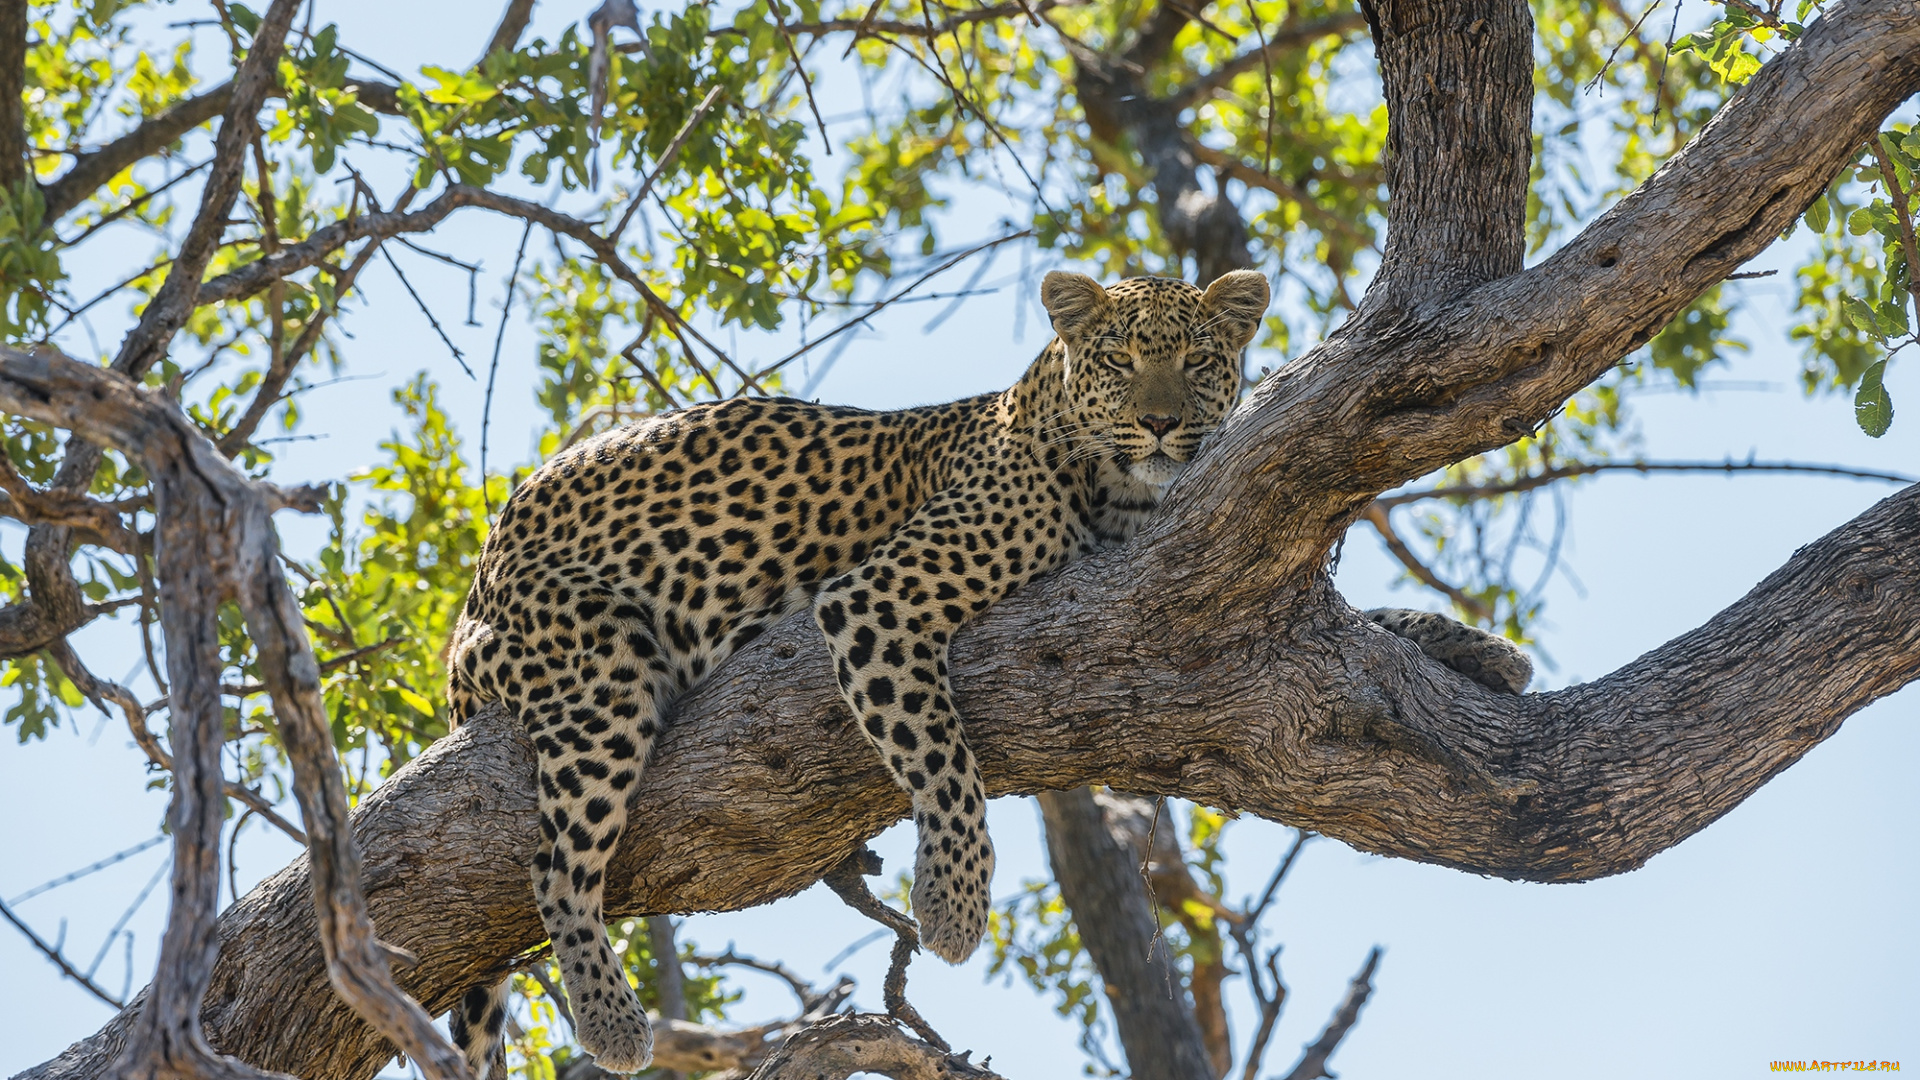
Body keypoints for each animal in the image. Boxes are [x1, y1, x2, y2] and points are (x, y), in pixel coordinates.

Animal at [439, 265, 1528, 1068]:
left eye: (1198, 360)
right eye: (1122, 358)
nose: (1164, 423)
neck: (1121, 490)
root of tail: (478, 580)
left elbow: (1367, 619)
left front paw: (1481, 648)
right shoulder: (877, 600)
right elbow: (942, 757)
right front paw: (954, 908)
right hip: (601, 667)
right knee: (555, 870)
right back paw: (614, 1023)